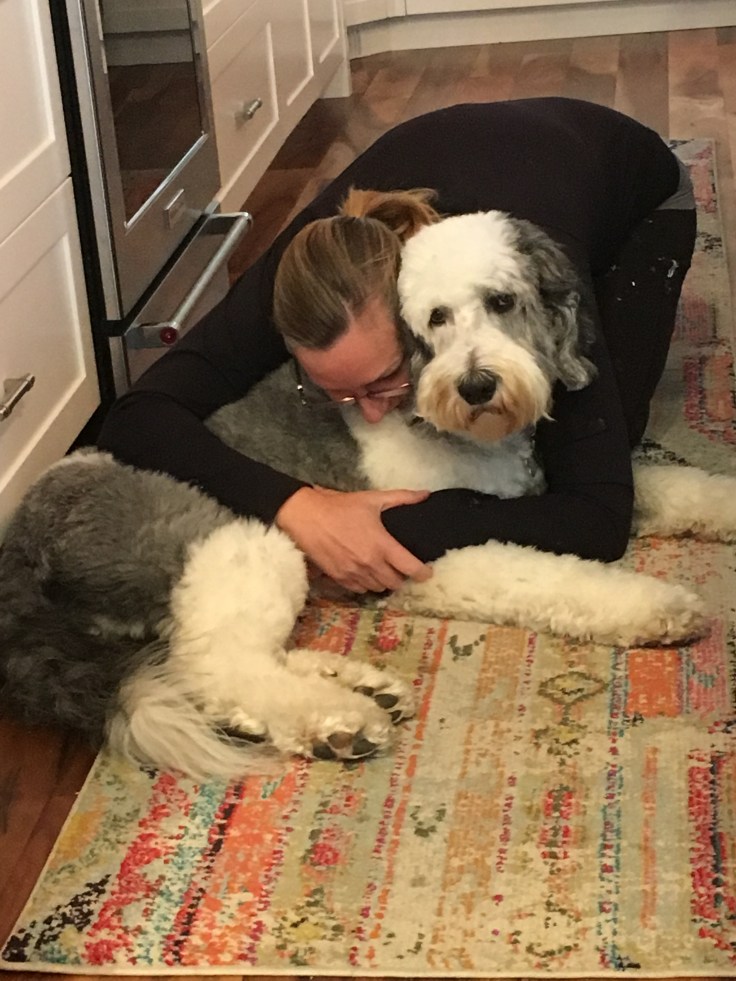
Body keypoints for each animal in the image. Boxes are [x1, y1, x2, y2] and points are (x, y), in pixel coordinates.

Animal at [2, 211, 735, 782]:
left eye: (503, 301)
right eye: (434, 318)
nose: (476, 385)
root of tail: (21, 539)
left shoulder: (541, 490)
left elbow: (671, 485)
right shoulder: (433, 550)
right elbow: (551, 576)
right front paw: (659, 606)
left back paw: (363, 686)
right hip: (240, 541)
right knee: (220, 668)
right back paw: (340, 722)